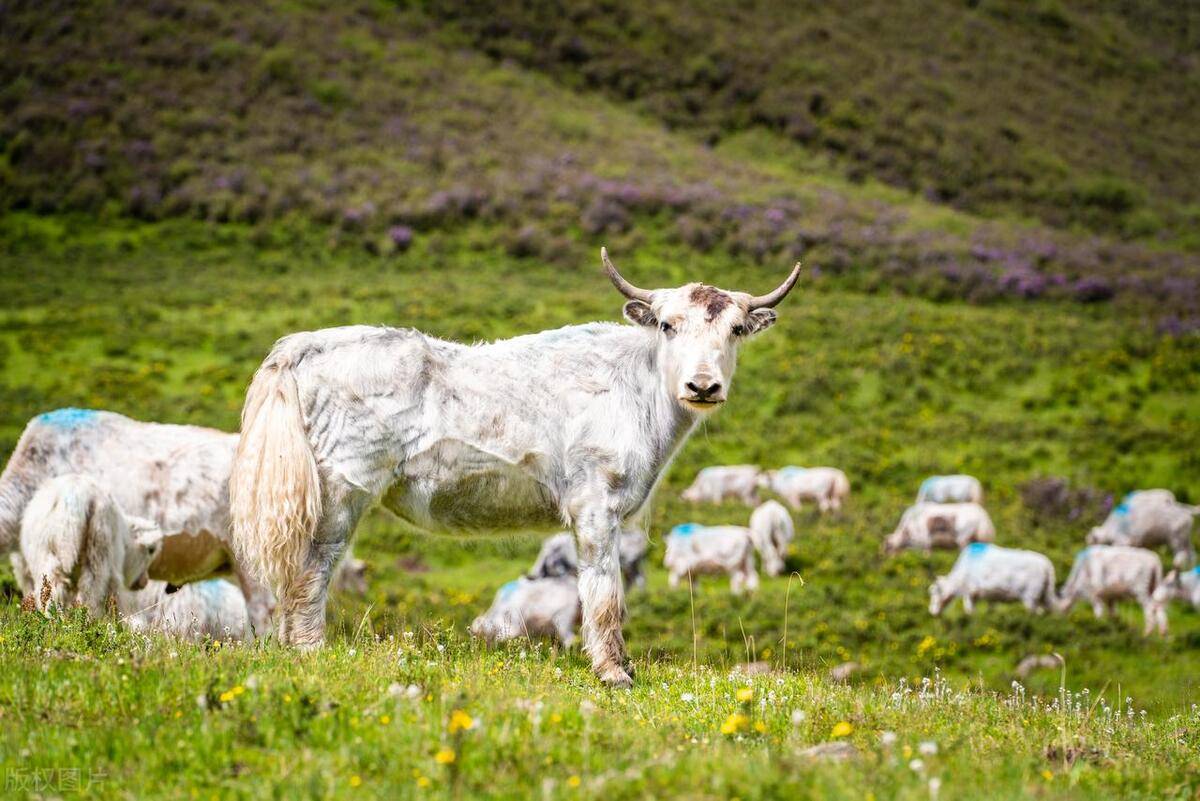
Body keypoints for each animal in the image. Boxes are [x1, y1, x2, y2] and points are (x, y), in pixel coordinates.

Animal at [15, 472, 164, 618]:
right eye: (151, 550)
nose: (144, 581)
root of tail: (76, 494)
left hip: (48, 554)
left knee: (54, 589)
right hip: (98, 546)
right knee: (90, 588)